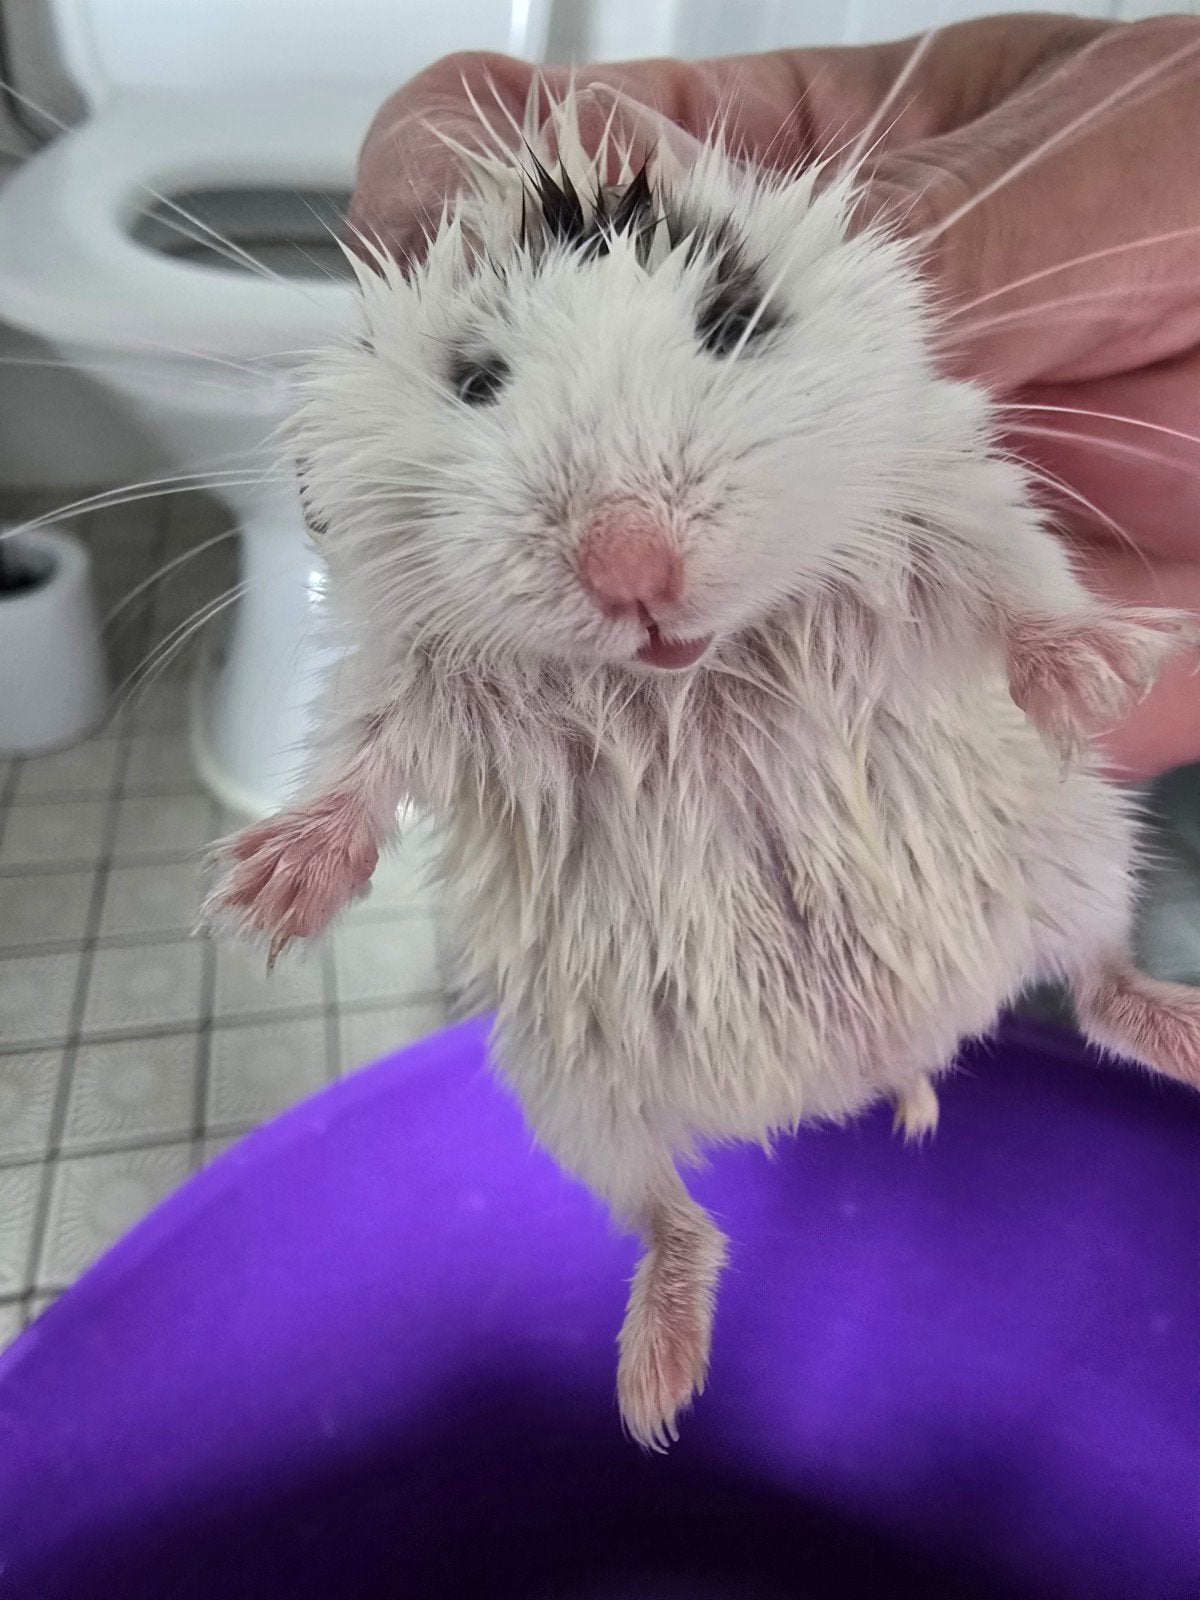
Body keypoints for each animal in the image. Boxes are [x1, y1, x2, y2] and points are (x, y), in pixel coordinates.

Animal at [204, 85, 1200, 1450]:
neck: (691, 677)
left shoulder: (952, 504)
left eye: (734, 323)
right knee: (671, 1215)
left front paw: (1113, 672)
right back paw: (652, 1392)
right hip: (568, 1088)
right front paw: (256, 900)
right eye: (477, 379)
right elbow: (358, 758)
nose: (631, 568)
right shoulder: (406, 666)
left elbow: (1018, 587)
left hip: (1082, 857)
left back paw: (1183, 1031)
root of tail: (843, 1079)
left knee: (1100, 984)